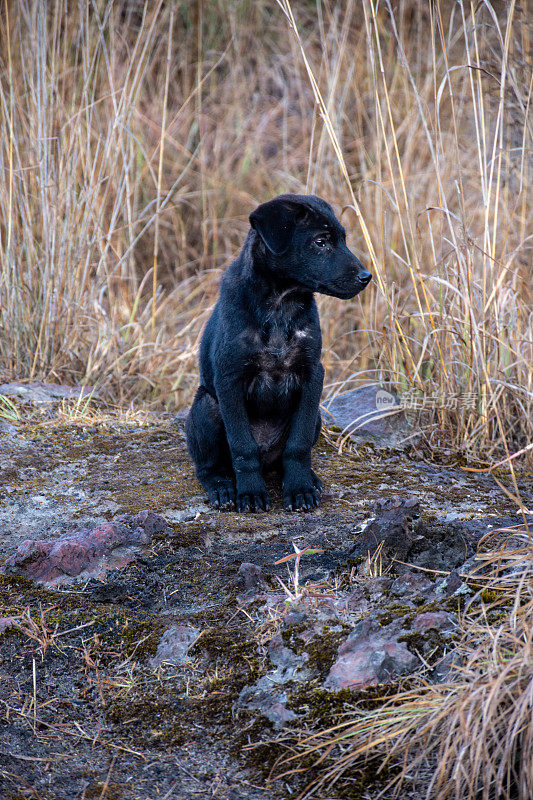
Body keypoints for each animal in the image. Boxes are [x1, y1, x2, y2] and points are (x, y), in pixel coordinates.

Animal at [186, 192, 370, 512]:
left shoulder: (312, 375)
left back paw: (309, 478)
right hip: (205, 407)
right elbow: (242, 447)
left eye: (343, 240)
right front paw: (250, 493)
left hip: (317, 415)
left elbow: (298, 444)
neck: (280, 305)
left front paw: (299, 489)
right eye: (320, 241)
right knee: (209, 467)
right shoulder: (229, 378)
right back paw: (222, 487)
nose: (366, 276)